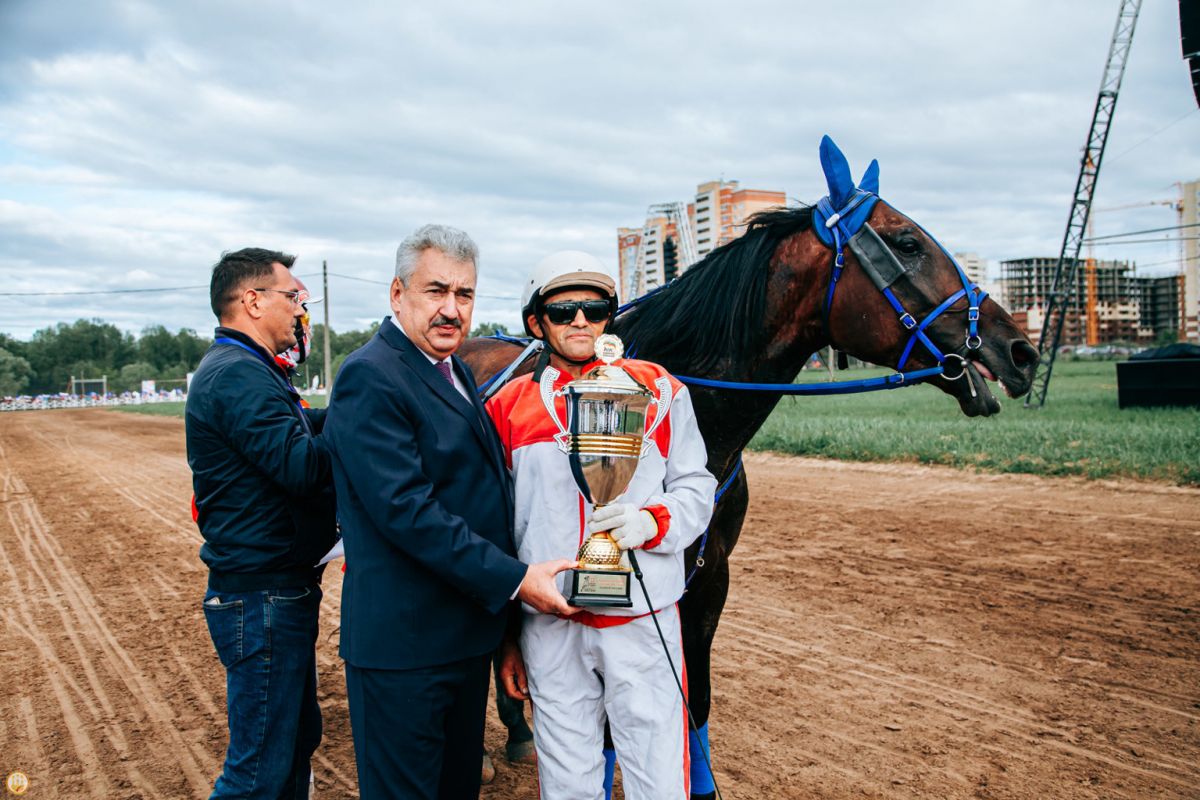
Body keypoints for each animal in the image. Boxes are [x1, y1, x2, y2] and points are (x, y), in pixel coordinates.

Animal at [458, 137, 1041, 796]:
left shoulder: (710, 579)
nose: (1021, 351)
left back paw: (517, 730)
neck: (707, 424)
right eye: (908, 241)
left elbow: (696, 700)